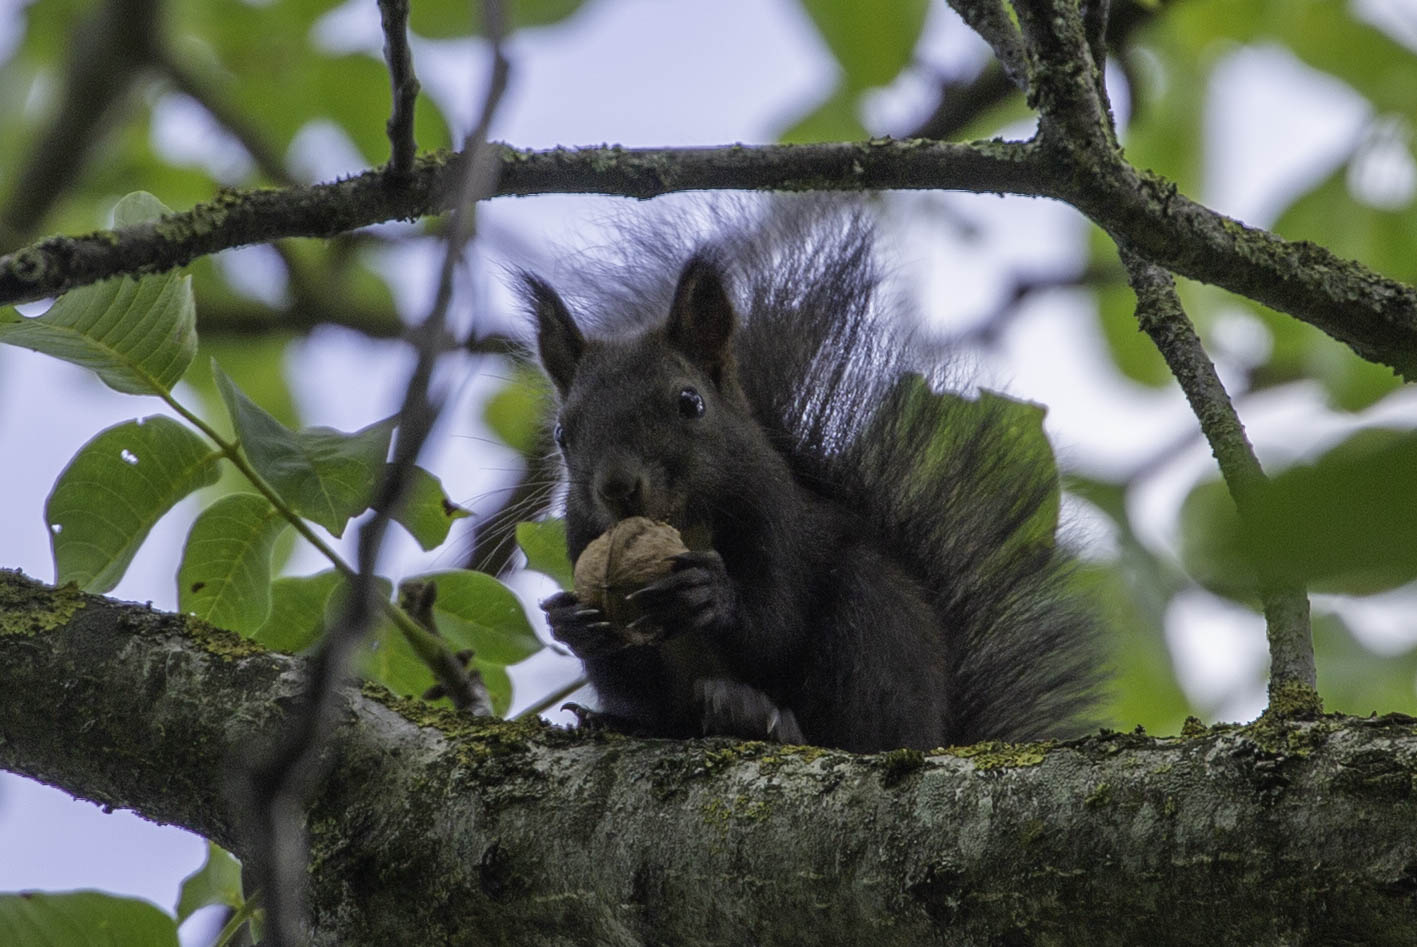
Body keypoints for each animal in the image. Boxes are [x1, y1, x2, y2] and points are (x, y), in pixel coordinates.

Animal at [524, 204, 1105, 748]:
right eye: (561, 432)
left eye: (690, 403)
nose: (617, 487)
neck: (684, 522)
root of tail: (936, 733)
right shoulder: (583, 540)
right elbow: (631, 680)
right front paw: (573, 624)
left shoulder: (779, 524)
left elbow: (775, 629)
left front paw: (709, 592)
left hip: (873, 620)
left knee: (858, 726)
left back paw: (766, 721)